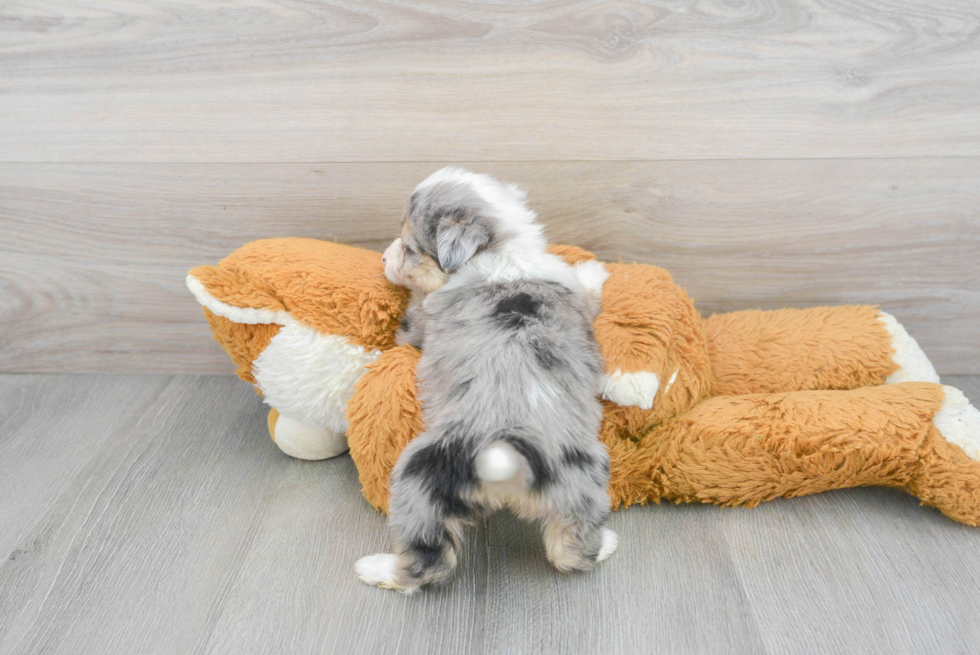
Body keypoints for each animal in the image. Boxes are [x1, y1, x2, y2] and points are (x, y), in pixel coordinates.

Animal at [356, 165, 616, 596]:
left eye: (409, 248)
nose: (382, 256)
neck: (500, 249)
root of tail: (507, 447)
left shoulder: (419, 324)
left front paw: (593, 269)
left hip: (416, 475)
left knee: (428, 564)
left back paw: (375, 568)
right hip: (583, 475)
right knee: (570, 550)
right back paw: (609, 541)